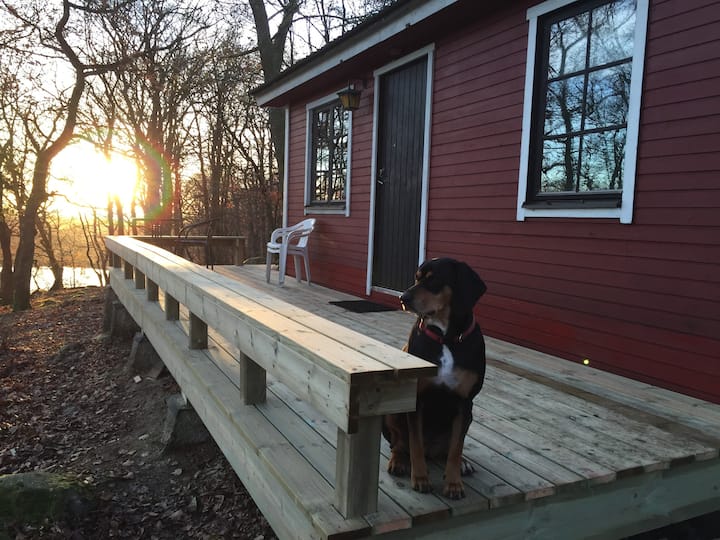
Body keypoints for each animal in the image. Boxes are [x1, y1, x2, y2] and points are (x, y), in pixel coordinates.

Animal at [380, 258, 486, 498]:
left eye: (434, 279)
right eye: (417, 277)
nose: (403, 298)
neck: (446, 338)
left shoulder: (465, 402)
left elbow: (456, 448)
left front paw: (454, 484)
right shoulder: (417, 399)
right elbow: (416, 443)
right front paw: (420, 479)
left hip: (469, 416)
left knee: (450, 448)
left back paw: (463, 463)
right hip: (391, 414)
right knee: (400, 444)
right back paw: (398, 461)